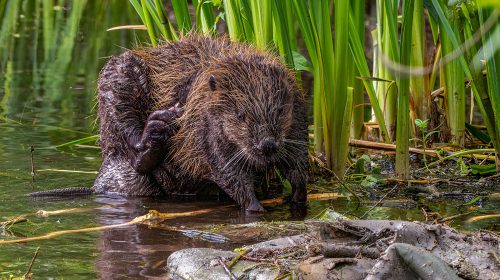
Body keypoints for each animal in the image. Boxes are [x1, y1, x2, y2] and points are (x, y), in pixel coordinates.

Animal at [32, 34, 308, 212]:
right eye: (240, 115)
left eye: (280, 110)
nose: (267, 146)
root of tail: (100, 181)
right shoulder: (205, 125)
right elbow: (227, 170)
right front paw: (256, 208)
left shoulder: (298, 114)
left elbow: (297, 162)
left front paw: (299, 197)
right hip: (119, 78)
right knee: (132, 148)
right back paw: (156, 129)